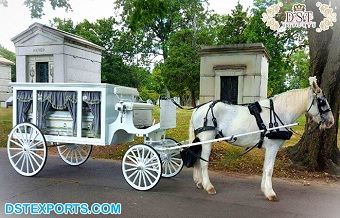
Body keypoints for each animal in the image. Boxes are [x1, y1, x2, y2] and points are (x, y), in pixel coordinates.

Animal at [189, 78, 334, 201]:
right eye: (322, 101)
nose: (331, 122)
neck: (279, 113)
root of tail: (199, 108)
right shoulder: (272, 147)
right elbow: (269, 169)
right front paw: (270, 193)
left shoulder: (270, 148)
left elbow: (265, 168)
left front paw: (264, 189)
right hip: (207, 139)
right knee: (203, 162)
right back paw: (209, 186)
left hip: (203, 141)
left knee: (198, 158)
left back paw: (200, 183)